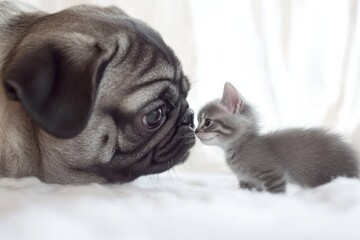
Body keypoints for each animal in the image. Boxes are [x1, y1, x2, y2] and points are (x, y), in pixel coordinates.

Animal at [195, 82, 358, 193]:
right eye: (197, 121)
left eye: (207, 122)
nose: (195, 131)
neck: (240, 147)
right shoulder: (247, 181)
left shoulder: (272, 174)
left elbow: (276, 193)